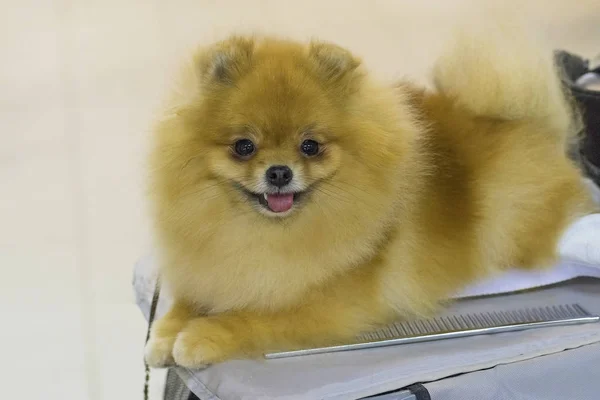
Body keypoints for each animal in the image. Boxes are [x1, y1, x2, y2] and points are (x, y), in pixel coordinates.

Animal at [144, 26, 596, 368]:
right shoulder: (213, 267)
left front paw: (200, 337)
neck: (265, 232)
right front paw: (165, 335)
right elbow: (186, 301)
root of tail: (536, 126)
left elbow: (252, 317)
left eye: (310, 146)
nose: (279, 172)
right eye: (243, 146)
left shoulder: (323, 305)